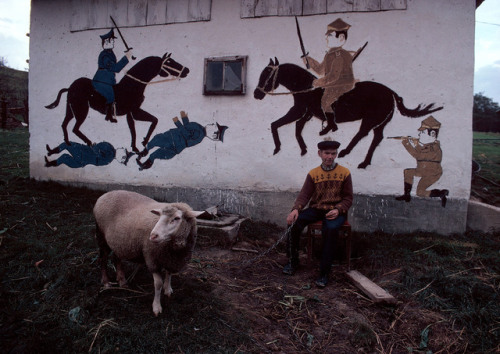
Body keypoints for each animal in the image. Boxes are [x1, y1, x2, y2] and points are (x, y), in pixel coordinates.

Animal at [45, 52, 189, 152]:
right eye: (169, 62)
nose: (187, 70)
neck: (132, 86)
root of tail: (70, 87)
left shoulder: (131, 113)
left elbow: (149, 122)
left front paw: (140, 144)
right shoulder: (134, 111)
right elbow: (143, 126)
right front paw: (140, 145)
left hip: (71, 109)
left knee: (64, 125)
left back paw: (68, 143)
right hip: (81, 110)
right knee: (75, 128)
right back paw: (90, 143)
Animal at [256, 58, 444, 169]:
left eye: (267, 73)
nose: (256, 94)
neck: (307, 87)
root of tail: (390, 92)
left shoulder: (299, 110)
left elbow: (277, 124)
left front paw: (277, 147)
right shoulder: (305, 113)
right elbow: (295, 128)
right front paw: (302, 149)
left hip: (370, 119)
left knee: (362, 134)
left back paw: (346, 152)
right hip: (380, 122)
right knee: (376, 138)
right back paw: (364, 162)